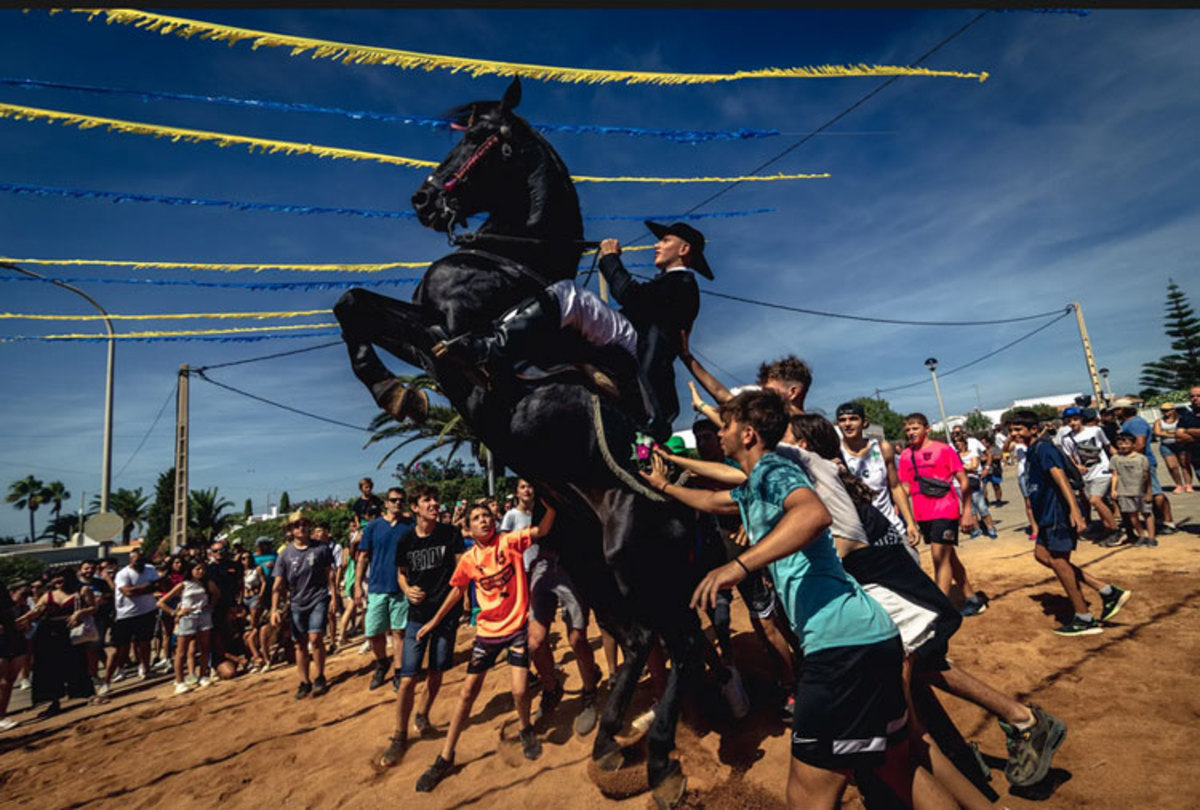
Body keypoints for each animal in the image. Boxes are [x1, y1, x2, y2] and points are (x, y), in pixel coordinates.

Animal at [333, 79, 705, 806]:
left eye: (481, 139)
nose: (425, 199)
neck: (510, 260)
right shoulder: (429, 334)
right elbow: (353, 303)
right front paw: (395, 392)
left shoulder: (453, 340)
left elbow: (416, 329)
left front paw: (397, 392)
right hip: (592, 565)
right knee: (643, 639)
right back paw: (615, 741)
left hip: (630, 558)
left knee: (676, 642)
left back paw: (655, 759)